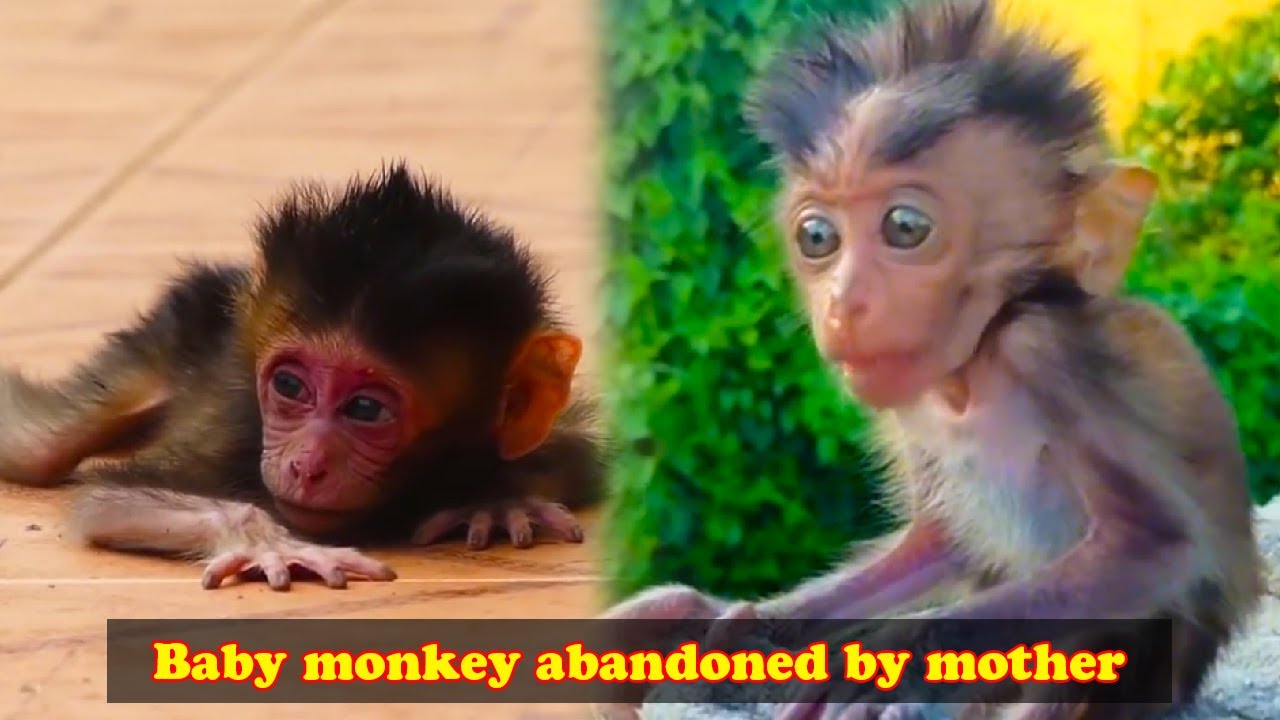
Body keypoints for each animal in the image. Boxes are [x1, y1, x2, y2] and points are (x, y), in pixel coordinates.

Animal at [0, 161, 607, 591]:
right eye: (290, 387)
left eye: (366, 409)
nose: (305, 465)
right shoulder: (234, 430)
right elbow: (111, 503)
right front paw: (268, 541)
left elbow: (577, 462)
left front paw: (495, 499)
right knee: (36, 447)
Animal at [600, 1, 1266, 718]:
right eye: (817, 237)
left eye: (906, 228)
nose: (843, 303)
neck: (969, 375)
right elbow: (937, 542)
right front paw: (742, 623)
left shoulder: (1046, 349)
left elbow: (1152, 545)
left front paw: (883, 659)